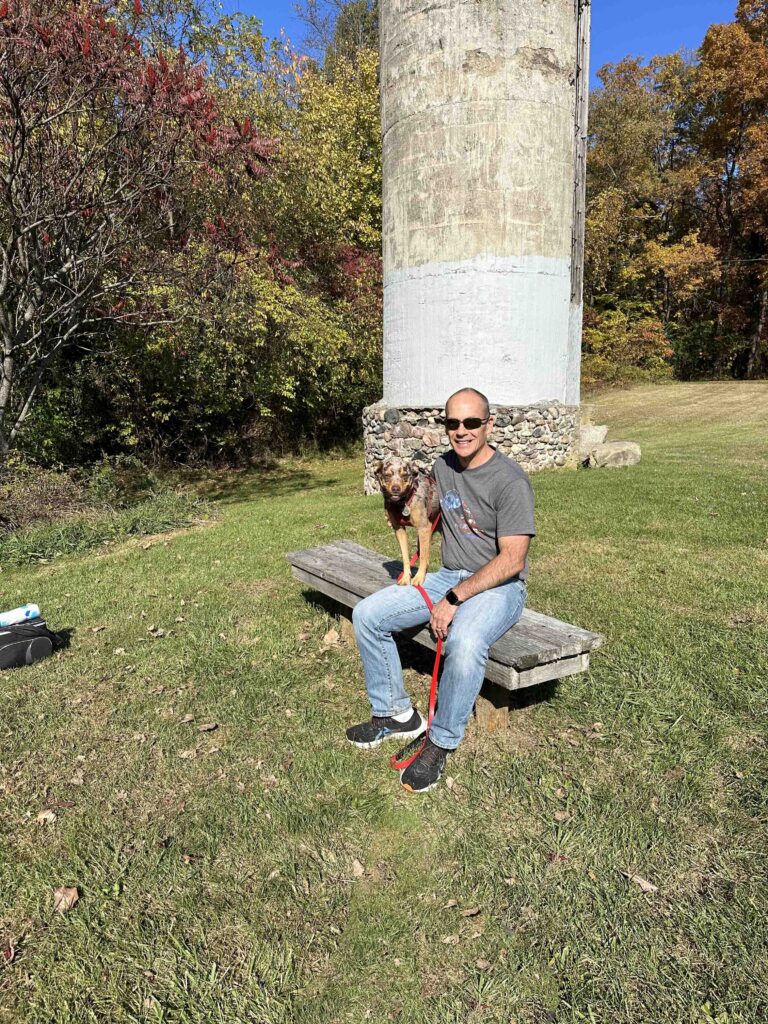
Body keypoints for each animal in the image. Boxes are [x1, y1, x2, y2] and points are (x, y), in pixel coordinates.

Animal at [374, 460, 442, 589]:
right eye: (387, 475)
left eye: (404, 475)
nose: (395, 488)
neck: (401, 505)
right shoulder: (399, 529)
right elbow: (406, 557)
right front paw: (406, 577)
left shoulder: (423, 528)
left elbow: (422, 558)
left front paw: (419, 578)